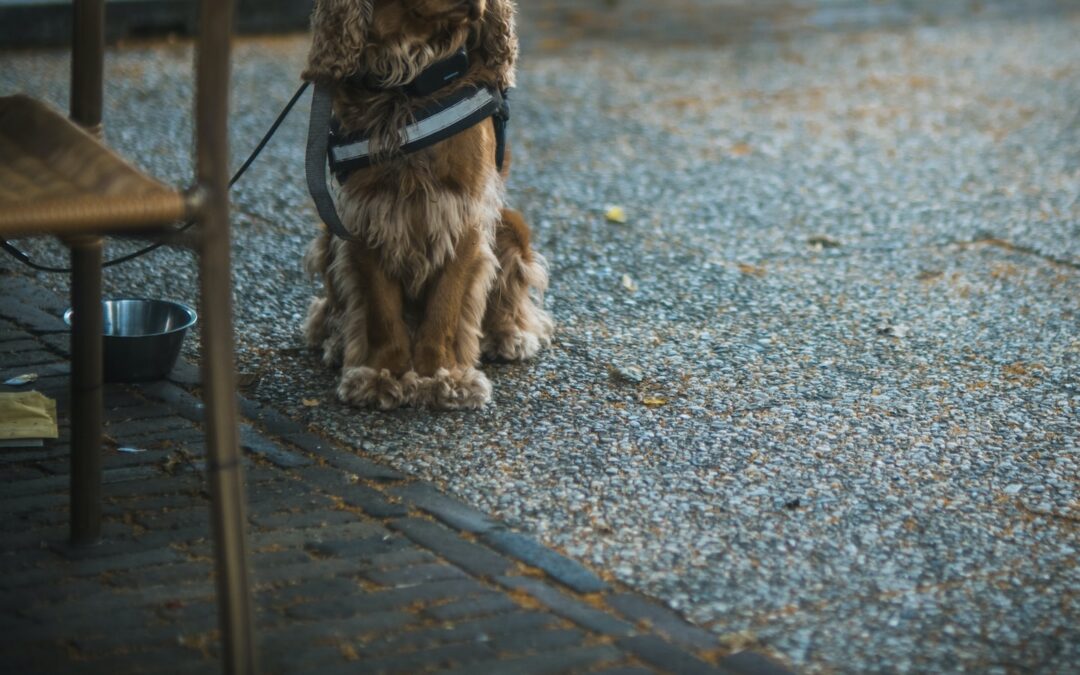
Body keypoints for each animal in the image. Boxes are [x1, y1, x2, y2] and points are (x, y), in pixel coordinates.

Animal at [300, 0, 552, 408]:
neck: (410, 76)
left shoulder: (462, 212)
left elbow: (445, 305)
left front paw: (442, 376)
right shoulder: (366, 213)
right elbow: (380, 307)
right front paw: (381, 375)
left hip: (510, 227)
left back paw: (509, 335)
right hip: (329, 235)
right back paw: (336, 339)